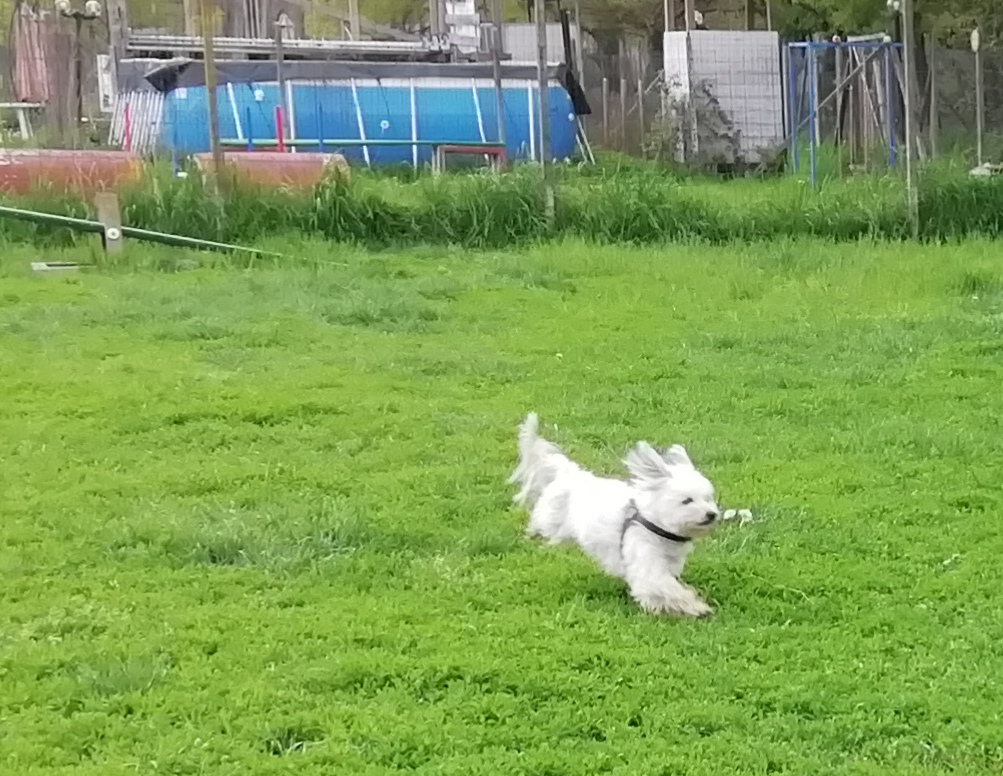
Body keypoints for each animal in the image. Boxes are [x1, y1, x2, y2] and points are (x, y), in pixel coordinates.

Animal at [509, 412, 721, 618]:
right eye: (687, 500)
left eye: (708, 498)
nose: (711, 514)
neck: (656, 526)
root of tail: (570, 473)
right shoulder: (646, 563)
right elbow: (665, 587)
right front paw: (696, 607)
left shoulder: (668, 564)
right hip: (551, 519)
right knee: (540, 524)